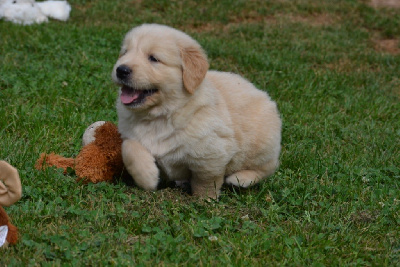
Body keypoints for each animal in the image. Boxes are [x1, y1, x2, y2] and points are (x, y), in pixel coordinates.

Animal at [112, 24, 282, 199]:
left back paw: (241, 178)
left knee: (268, 167)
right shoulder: (129, 134)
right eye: (125, 53)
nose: (121, 70)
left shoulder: (211, 152)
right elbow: (128, 147)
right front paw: (147, 177)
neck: (160, 114)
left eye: (153, 58)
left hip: (263, 142)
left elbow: (206, 178)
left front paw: (204, 198)